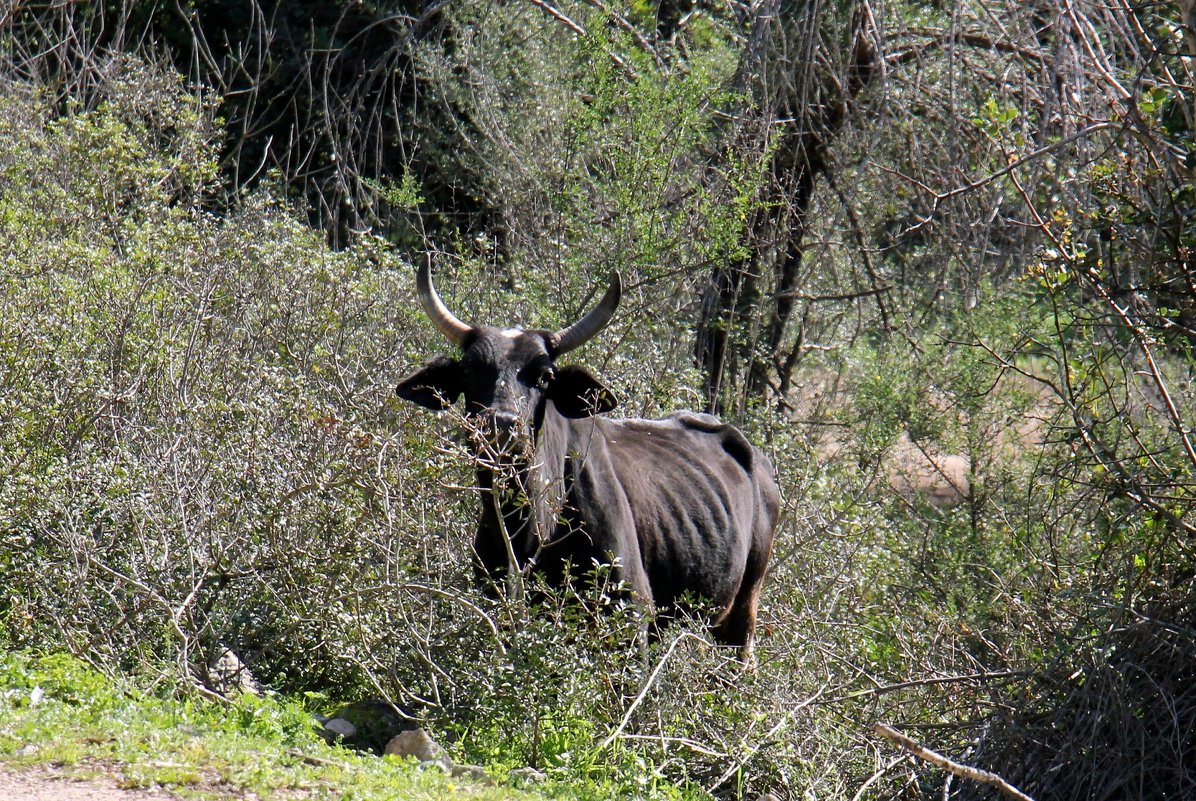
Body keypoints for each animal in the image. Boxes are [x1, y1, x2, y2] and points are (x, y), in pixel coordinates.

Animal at [397, 266, 779, 659]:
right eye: (471, 369)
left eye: (544, 376)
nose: (501, 425)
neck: (535, 527)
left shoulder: (631, 621)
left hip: (741, 618)